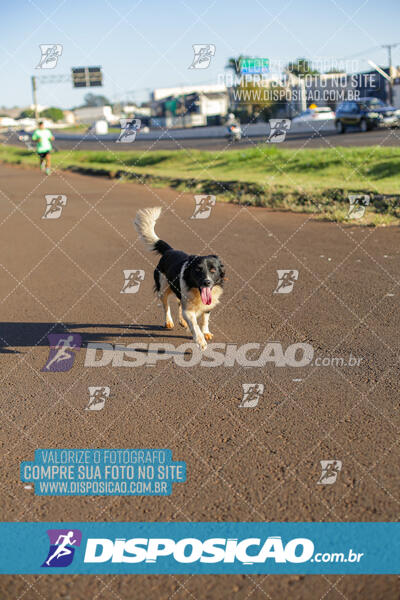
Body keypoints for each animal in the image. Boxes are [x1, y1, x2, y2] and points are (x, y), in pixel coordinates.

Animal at [133, 209, 223, 350]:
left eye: (213, 270)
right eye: (198, 270)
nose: (207, 282)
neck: (196, 291)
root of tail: (169, 251)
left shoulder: (207, 303)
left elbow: (205, 319)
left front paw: (206, 332)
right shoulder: (189, 309)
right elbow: (194, 325)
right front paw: (200, 341)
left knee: (179, 303)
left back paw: (182, 321)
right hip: (163, 288)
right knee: (166, 306)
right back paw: (168, 322)